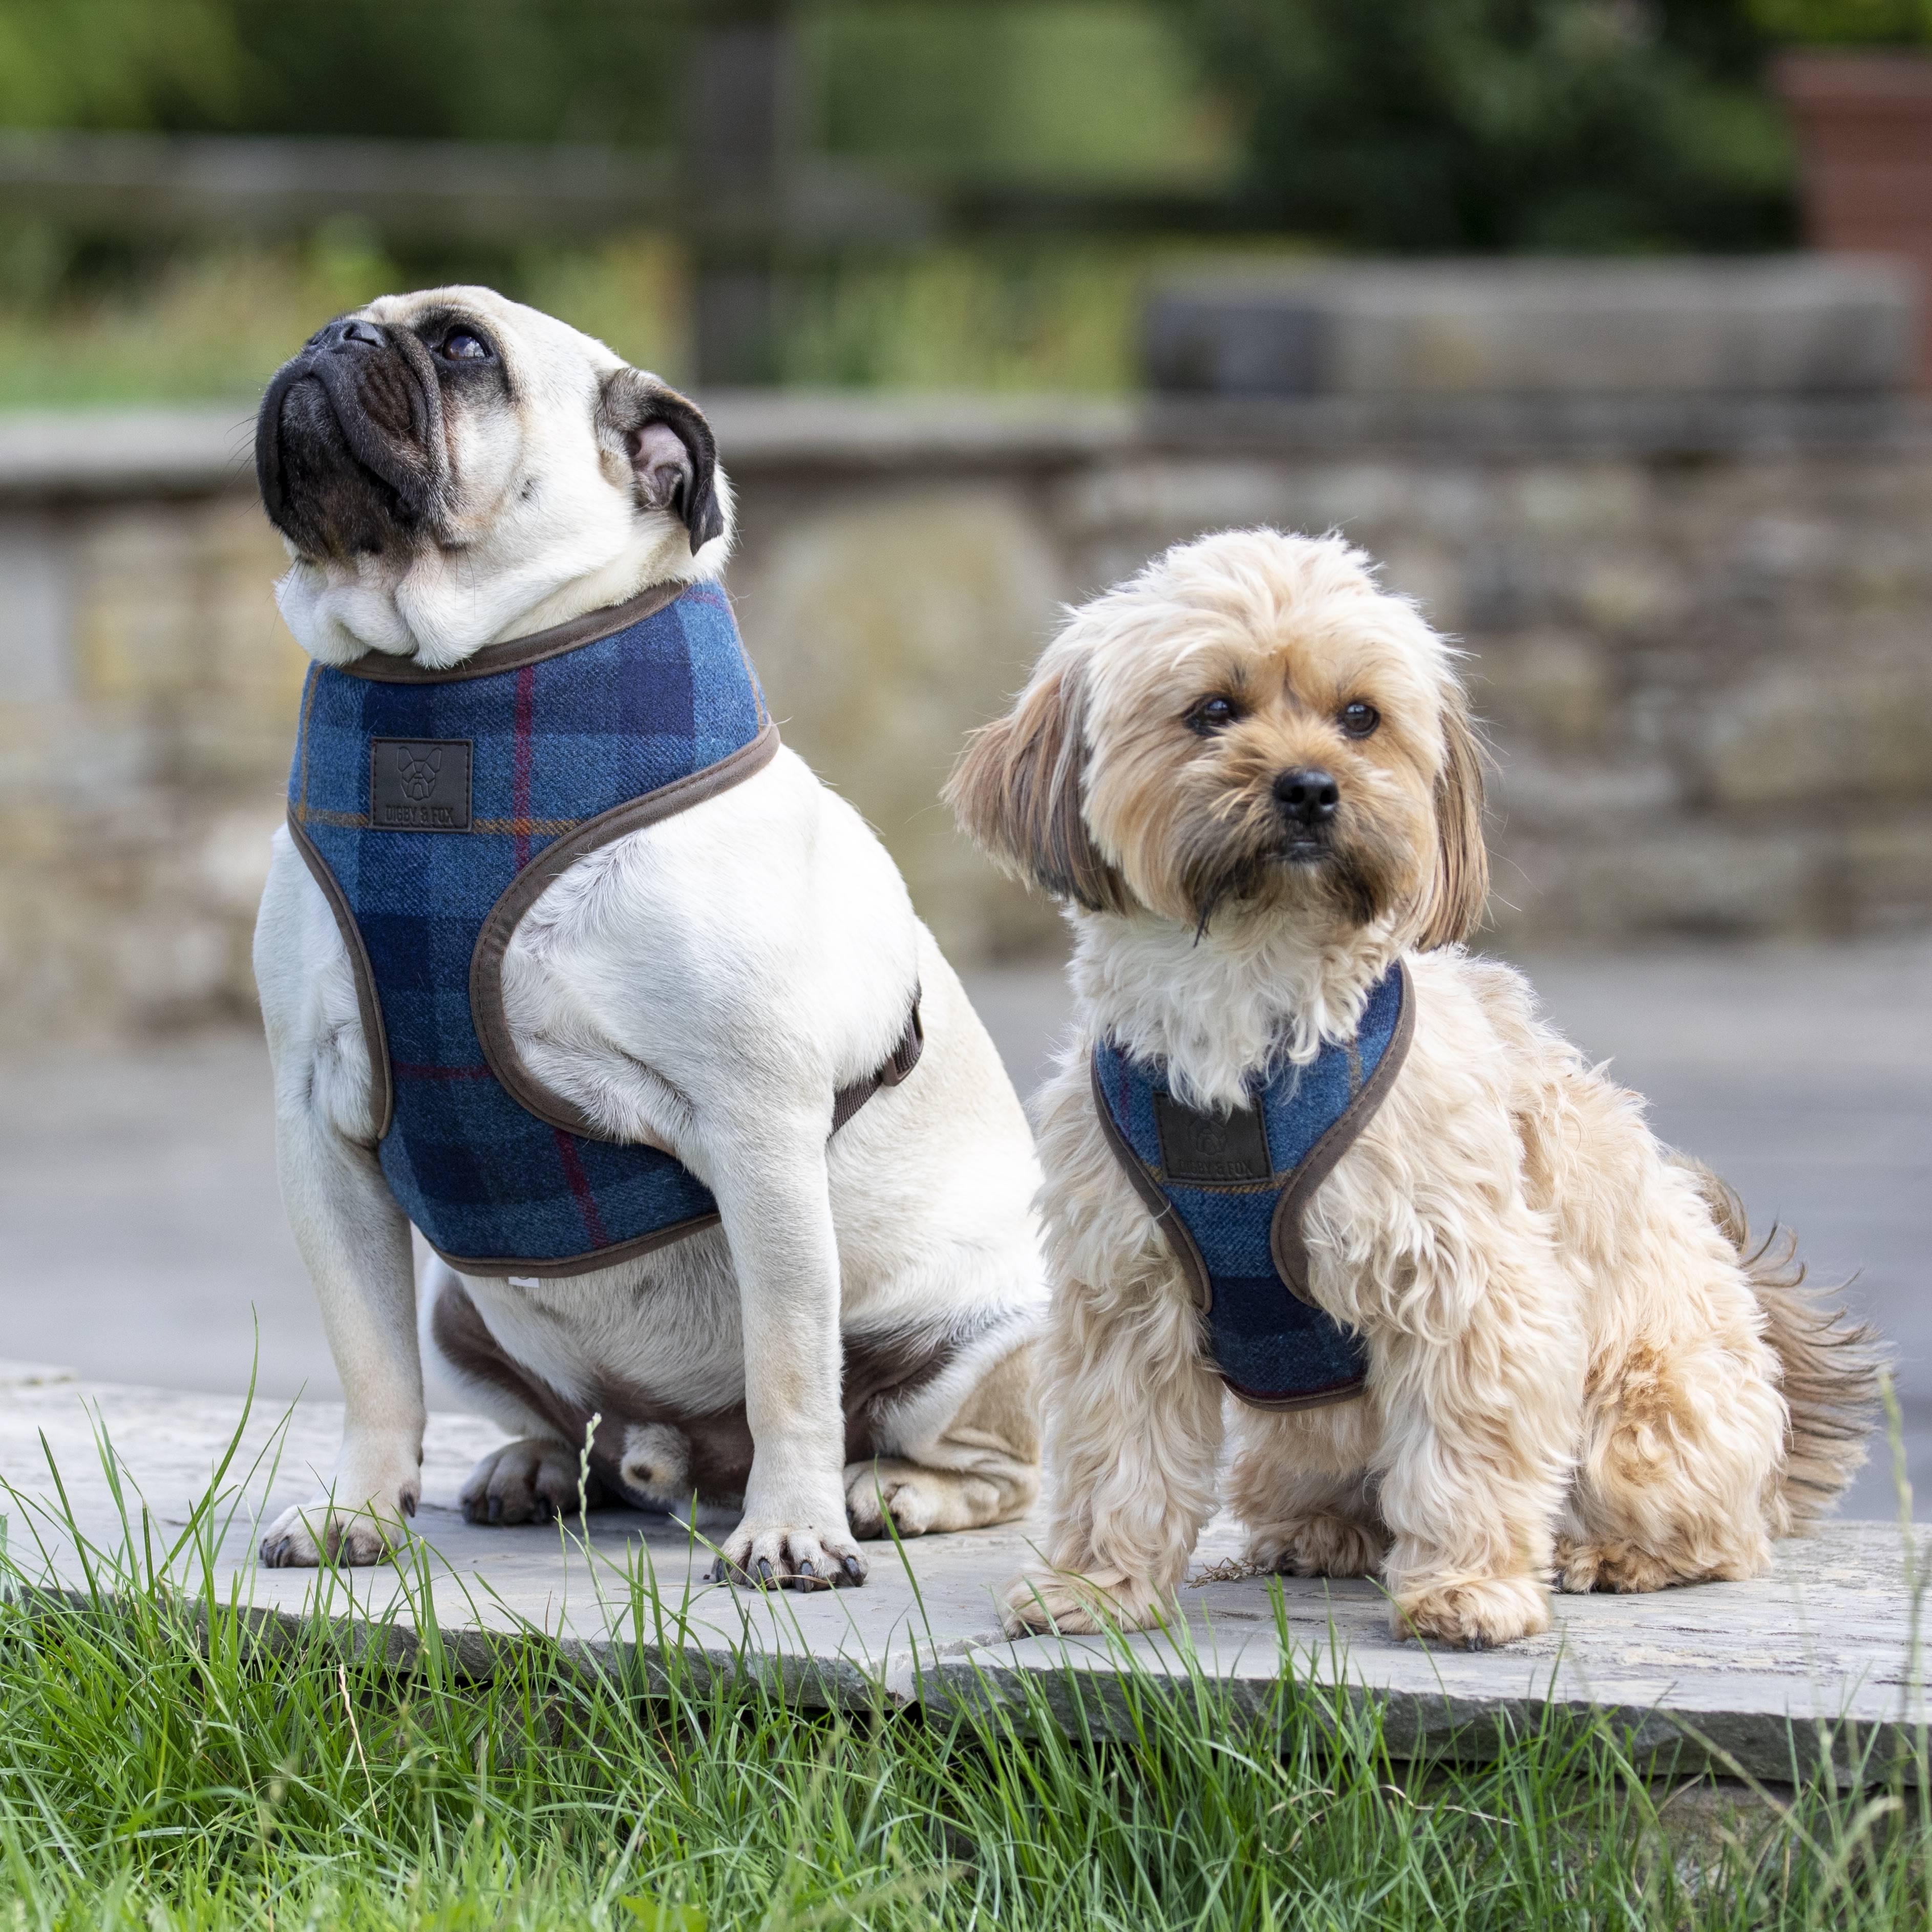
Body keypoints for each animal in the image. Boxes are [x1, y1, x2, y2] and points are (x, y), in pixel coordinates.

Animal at [257, 286, 1051, 1584]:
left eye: (462, 347)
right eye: (341, 324)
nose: (335, 340)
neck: (452, 686)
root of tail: (688, 1457)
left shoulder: (758, 1126)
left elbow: (790, 1365)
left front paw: (794, 1530)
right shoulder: (321, 1137)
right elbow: (371, 1370)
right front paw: (358, 1510)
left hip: (967, 1339)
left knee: (985, 1462)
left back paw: (887, 1494)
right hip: (460, 1311)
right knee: (568, 1426)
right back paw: (535, 1466)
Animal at [950, 529, 1885, 1646]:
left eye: (1359, 715)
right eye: (1212, 708)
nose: (1311, 787)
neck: (1249, 1004)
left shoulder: (1463, 1281)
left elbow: (1464, 1445)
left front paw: (1466, 1588)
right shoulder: (1123, 1296)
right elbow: (1114, 1457)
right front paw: (1094, 1583)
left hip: (1641, 1405)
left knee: (1718, 1533)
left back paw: (1610, 1553)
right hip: (1293, 1438)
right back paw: (1320, 1533)